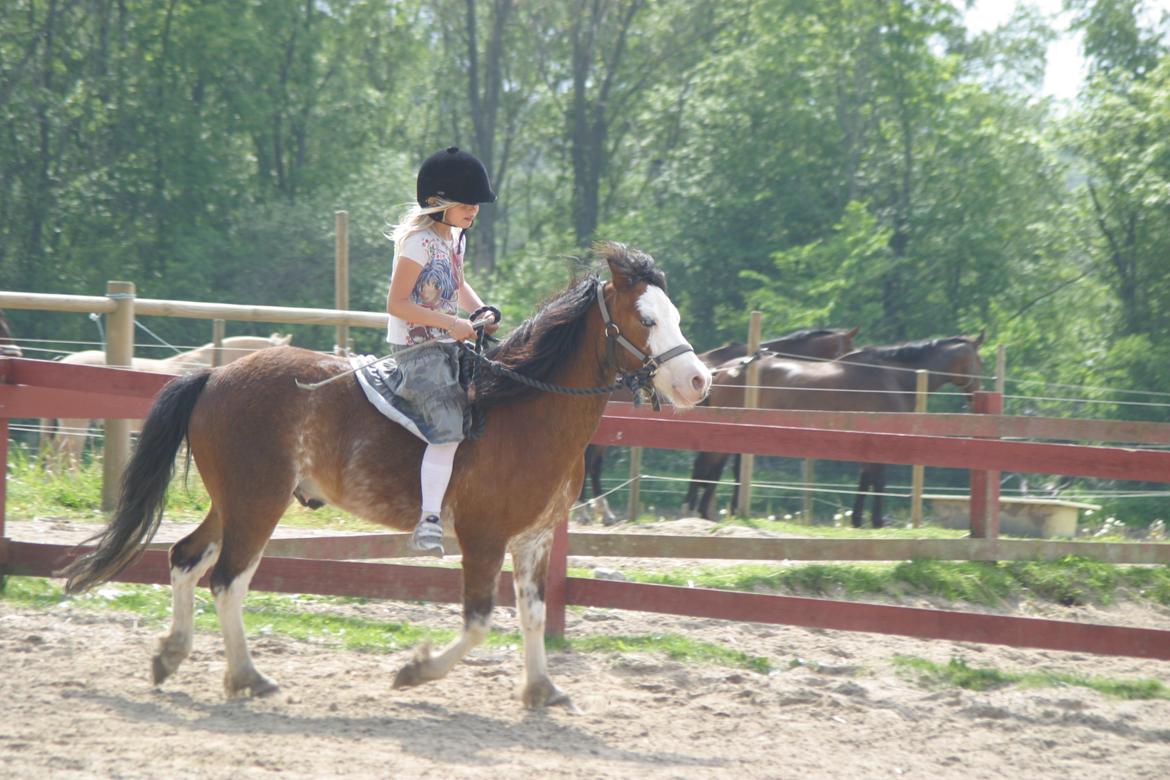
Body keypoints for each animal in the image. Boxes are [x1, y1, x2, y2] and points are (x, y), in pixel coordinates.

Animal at [576, 326, 859, 524]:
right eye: (842, 352)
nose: (841, 376)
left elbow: (716, 471)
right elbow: (720, 471)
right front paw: (708, 510)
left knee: (592, 464)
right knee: (591, 463)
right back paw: (590, 511)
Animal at [685, 334, 985, 526]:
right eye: (979, 361)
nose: (976, 395)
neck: (894, 377)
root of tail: (721, 371)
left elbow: (866, 479)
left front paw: (858, 519)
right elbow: (878, 479)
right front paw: (877, 521)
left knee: (709, 469)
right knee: (708, 467)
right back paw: (697, 512)